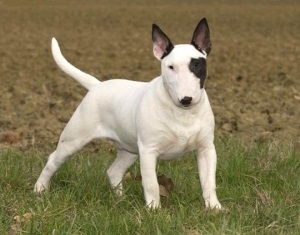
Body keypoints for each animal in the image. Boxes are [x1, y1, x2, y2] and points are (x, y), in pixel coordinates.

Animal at [34, 17, 223, 209]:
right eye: (170, 67)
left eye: (196, 64)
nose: (186, 100)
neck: (183, 114)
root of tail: (96, 86)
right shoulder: (148, 151)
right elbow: (152, 184)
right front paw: (154, 210)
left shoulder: (206, 149)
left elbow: (209, 182)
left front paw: (214, 208)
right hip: (74, 138)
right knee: (53, 160)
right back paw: (40, 189)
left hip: (129, 149)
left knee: (113, 171)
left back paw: (120, 199)